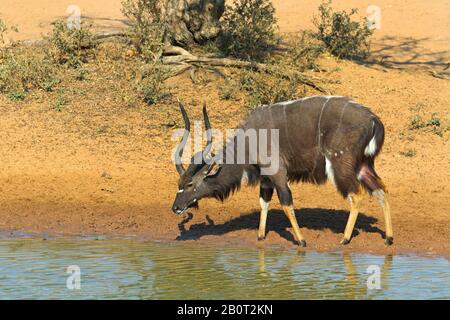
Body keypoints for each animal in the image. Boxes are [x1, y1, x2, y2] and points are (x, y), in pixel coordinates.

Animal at [172, 96, 394, 246]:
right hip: (364, 166)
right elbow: (264, 202)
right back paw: (389, 238)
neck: (248, 142)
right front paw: (261, 235)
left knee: (357, 195)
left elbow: (286, 203)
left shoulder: (278, 172)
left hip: (340, 165)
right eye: (179, 184)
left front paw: (301, 241)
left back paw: (345, 239)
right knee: (380, 190)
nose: (175, 208)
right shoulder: (265, 179)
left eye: (190, 184)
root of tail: (374, 121)